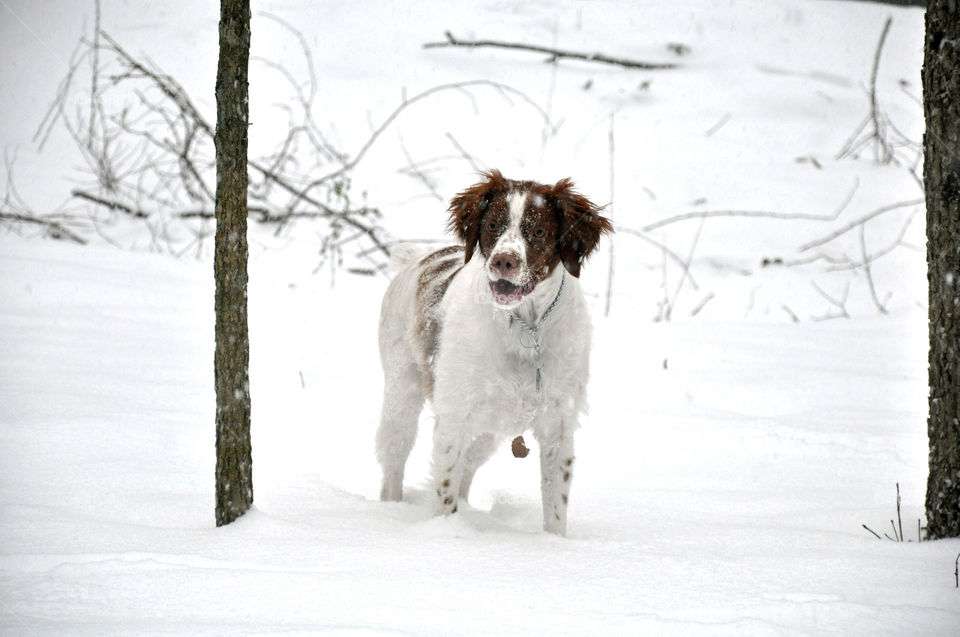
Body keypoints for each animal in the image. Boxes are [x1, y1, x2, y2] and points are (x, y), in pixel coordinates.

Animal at [376, 171, 616, 536]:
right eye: (492, 226)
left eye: (539, 231)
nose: (504, 261)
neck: (526, 327)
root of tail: (420, 258)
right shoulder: (454, 416)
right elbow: (444, 489)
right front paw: (445, 532)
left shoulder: (559, 425)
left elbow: (555, 505)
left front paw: (556, 544)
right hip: (401, 396)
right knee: (394, 461)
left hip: (490, 428)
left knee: (468, 465)